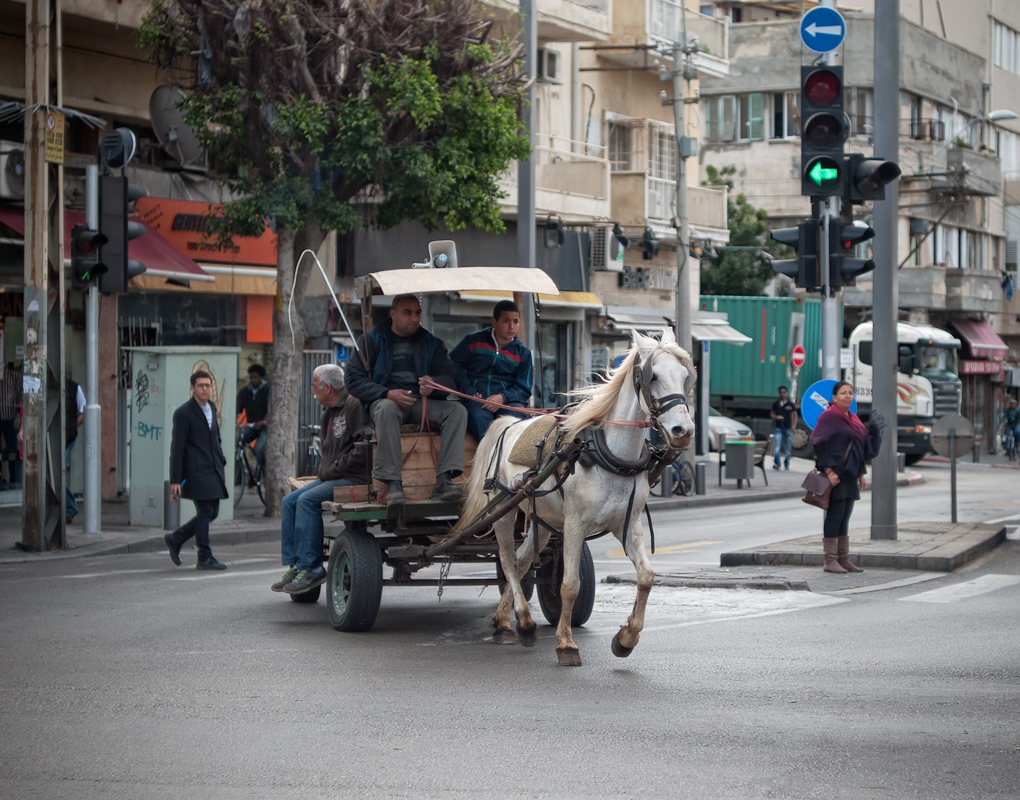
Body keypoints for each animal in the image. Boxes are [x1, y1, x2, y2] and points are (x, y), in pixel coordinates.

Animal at [459, 328, 697, 665]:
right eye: (653, 376)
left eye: (685, 376)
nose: (683, 430)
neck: (608, 455)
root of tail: (508, 422)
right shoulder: (574, 526)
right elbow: (570, 584)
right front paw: (566, 643)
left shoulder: (628, 525)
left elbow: (647, 577)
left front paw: (626, 637)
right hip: (504, 510)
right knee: (507, 561)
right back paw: (524, 621)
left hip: (542, 521)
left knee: (520, 561)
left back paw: (505, 621)